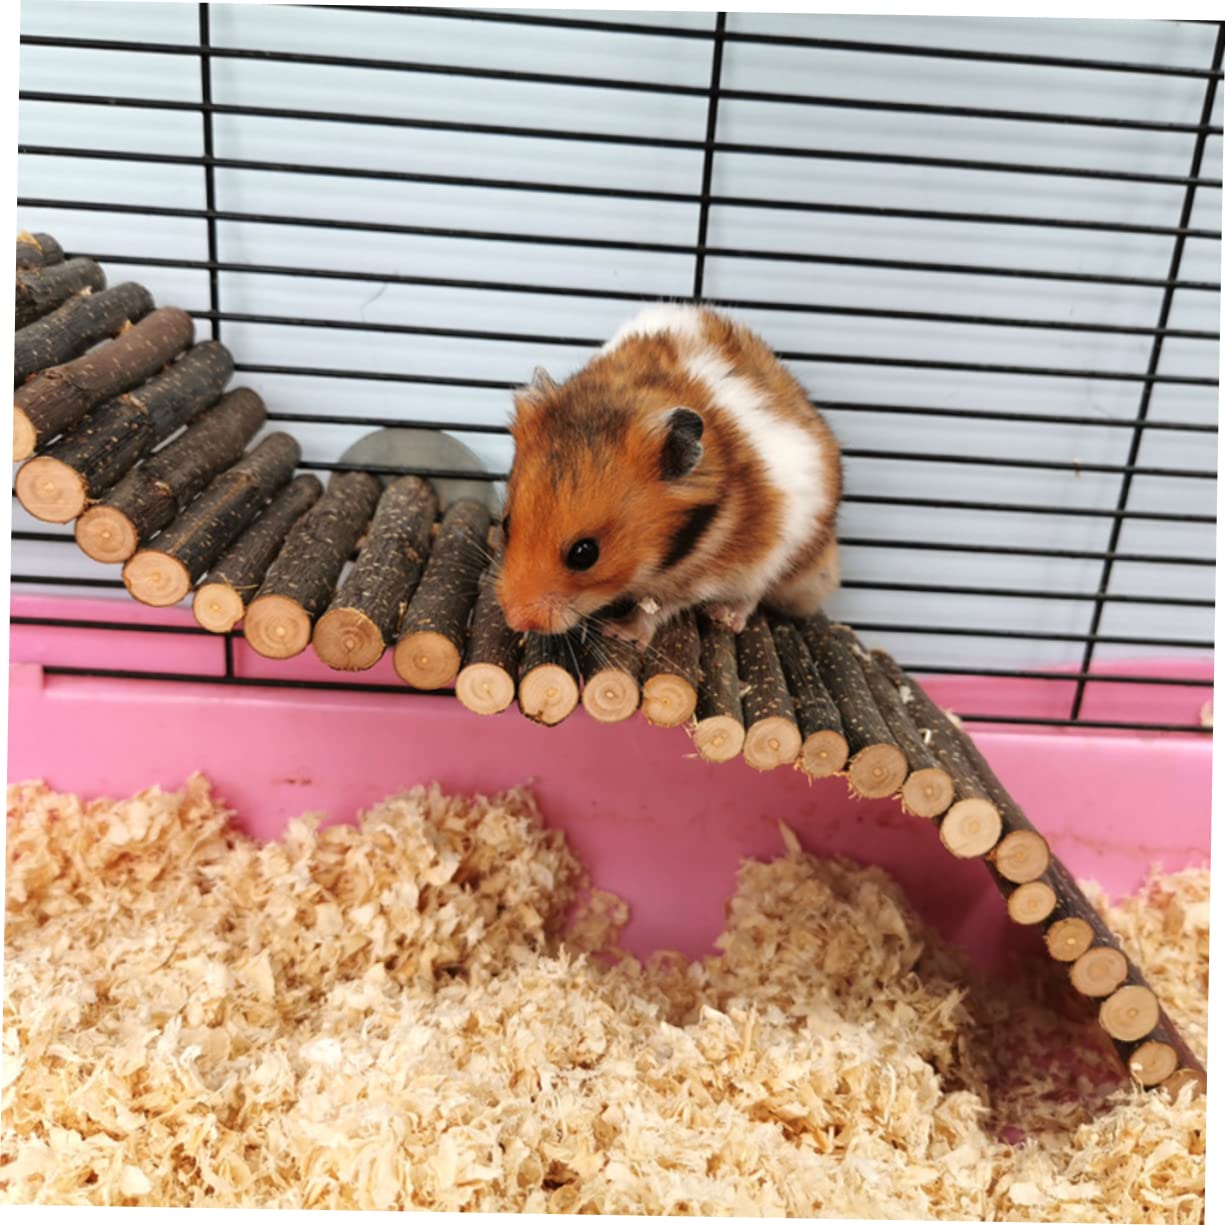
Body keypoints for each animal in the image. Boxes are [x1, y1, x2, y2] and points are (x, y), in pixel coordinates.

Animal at [495, 304, 842, 649]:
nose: (515, 620)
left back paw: (725, 616)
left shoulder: (700, 578)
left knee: (753, 594)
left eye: (584, 554)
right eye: (506, 524)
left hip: (788, 555)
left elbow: (658, 606)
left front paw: (620, 632)